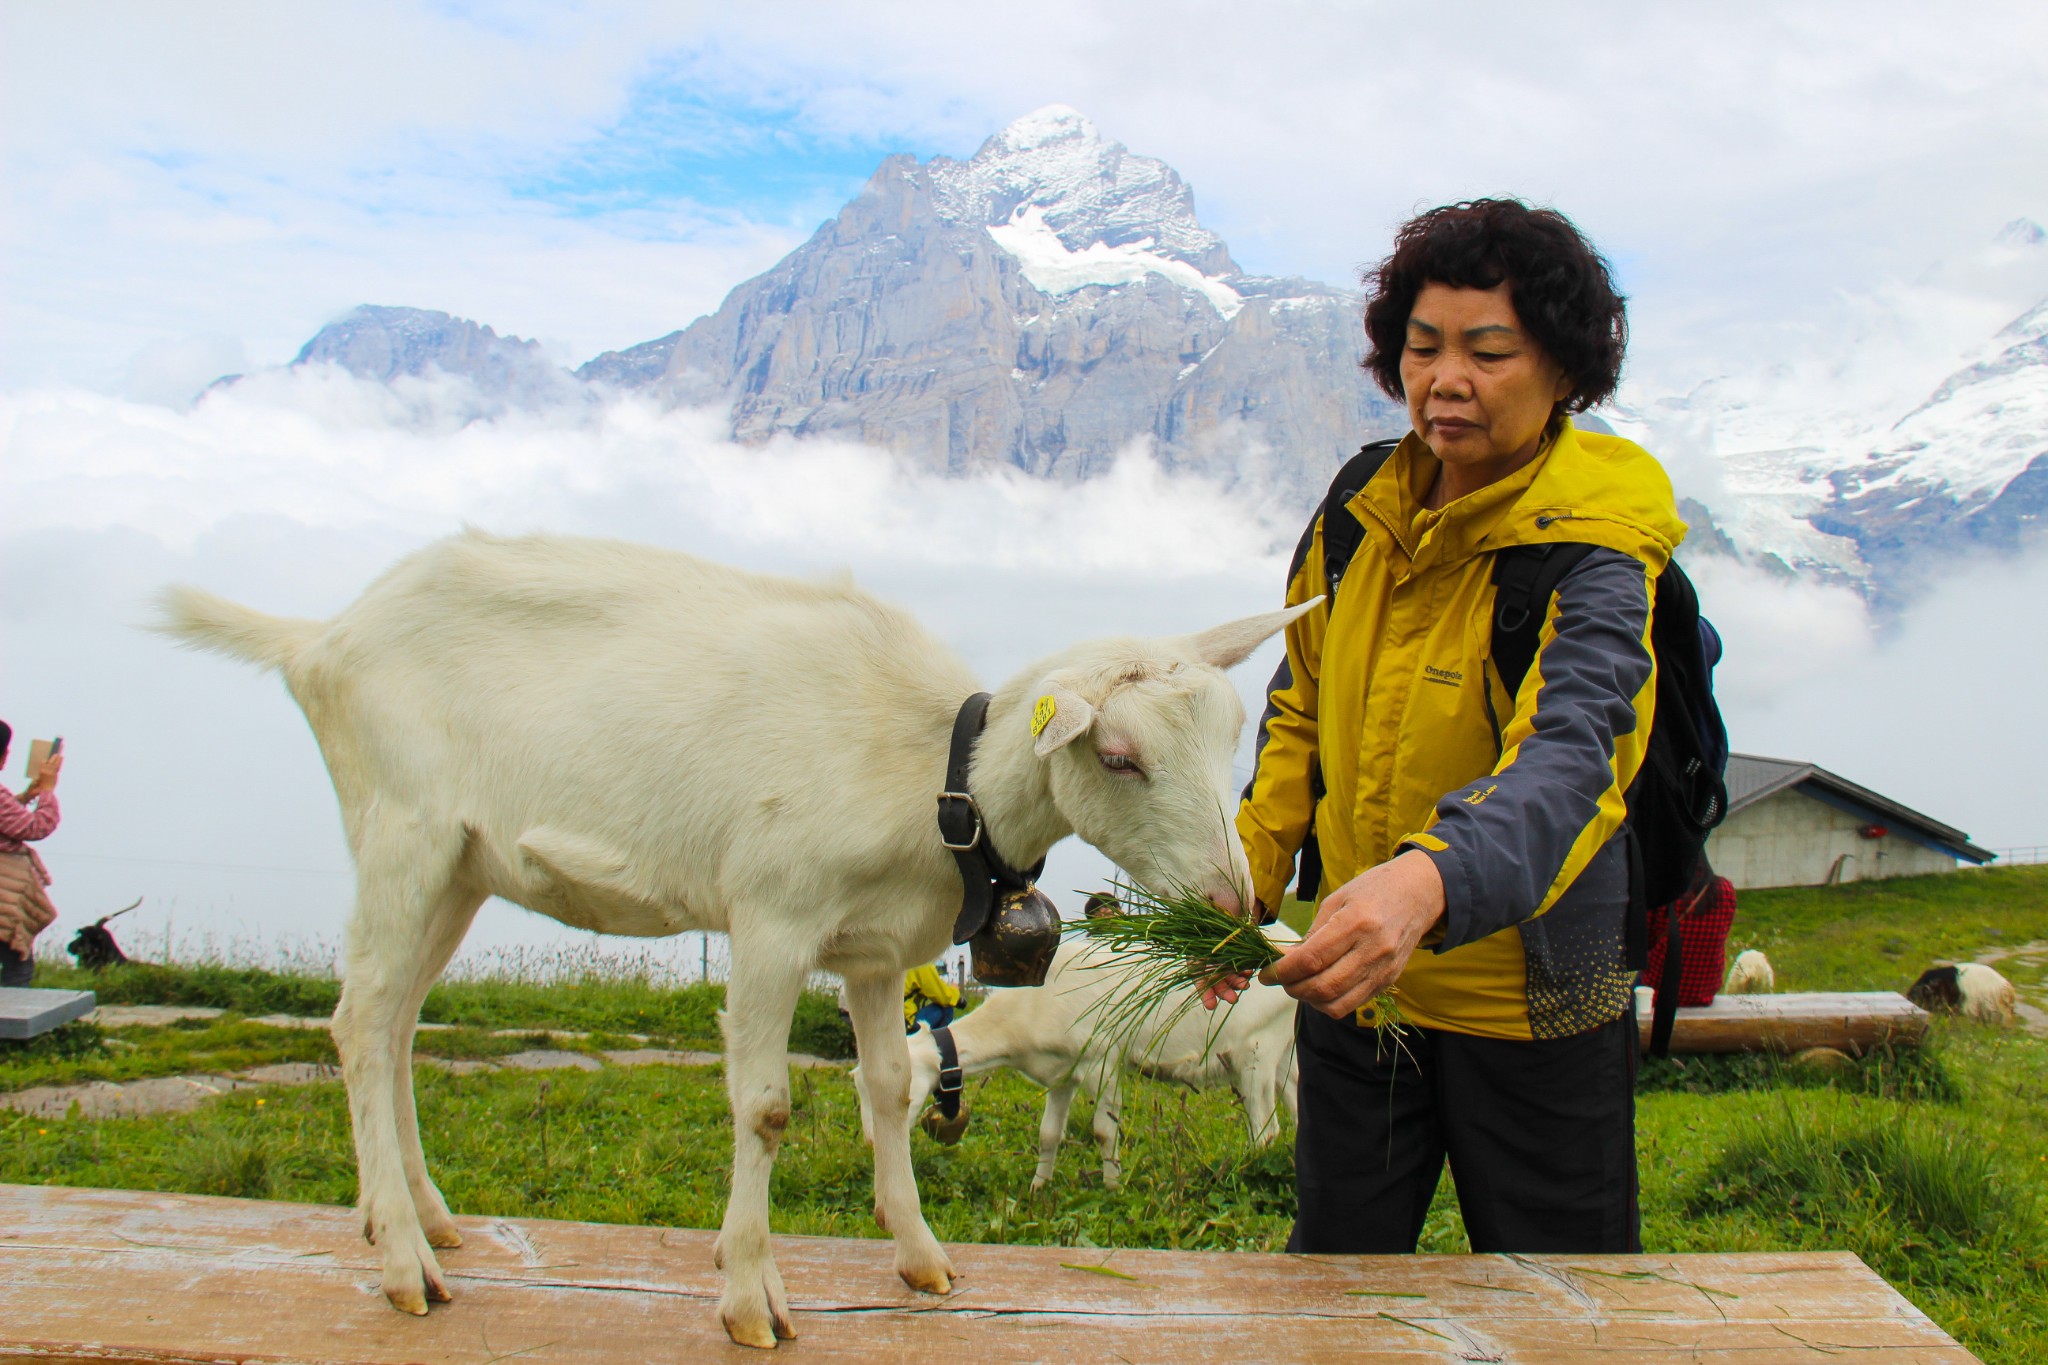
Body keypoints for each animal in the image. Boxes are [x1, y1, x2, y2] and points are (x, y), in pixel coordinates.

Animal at [860, 929, 1294, 1186]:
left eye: (902, 1092)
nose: (871, 1143)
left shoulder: (1101, 1060)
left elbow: (1104, 1131)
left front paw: (1113, 1187)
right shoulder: (1061, 1072)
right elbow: (1048, 1134)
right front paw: (1039, 1189)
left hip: (1254, 1053)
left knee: (1266, 1131)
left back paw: (1241, 1177)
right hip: (1285, 1056)